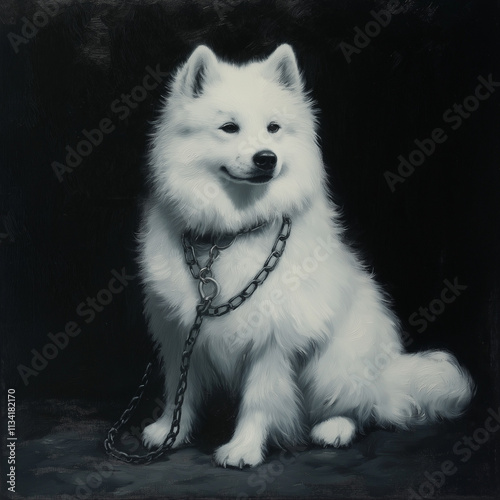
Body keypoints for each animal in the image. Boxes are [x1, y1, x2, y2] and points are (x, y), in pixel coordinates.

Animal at [139, 44, 474, 468]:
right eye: (229, 127)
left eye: (274, 128)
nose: (266, 158)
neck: (230, 233)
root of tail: (388, 377)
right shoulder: (180, 334)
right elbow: (179, 390)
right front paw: (170, 431)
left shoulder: (271, 339)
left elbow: (259, 399)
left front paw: (244, 448)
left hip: (332, 365)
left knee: (360, 408)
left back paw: (334, 428)